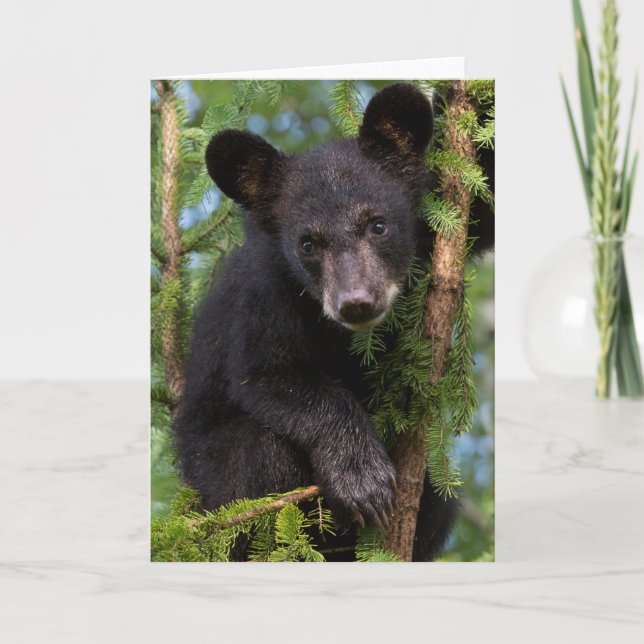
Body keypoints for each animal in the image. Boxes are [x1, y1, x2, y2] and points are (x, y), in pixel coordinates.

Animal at [173, 82, 494, 561]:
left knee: (440, 498)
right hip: (210, 477)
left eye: (378, 225)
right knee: (252, 459)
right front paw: (362, 479)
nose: (355, 302)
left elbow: (484, 199)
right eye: (307, 243)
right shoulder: (265, 297)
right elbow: (270, 376)